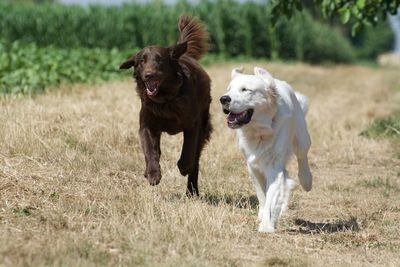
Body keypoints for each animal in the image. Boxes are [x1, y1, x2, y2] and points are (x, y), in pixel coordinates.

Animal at [119, 14, 212, 197]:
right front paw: (153, 174)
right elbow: (150, 151)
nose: (149, 75)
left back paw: (192, 190)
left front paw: (183, 167)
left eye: (159, 60)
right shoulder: (147, 126)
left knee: (196, 158)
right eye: (141, 61)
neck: (165, 100)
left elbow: (188, 151)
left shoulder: (193, 125)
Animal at [219, 66, 312, 232]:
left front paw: (266, 226)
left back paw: (306, 180)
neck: (259, 131)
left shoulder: (274, 166)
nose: (224, 99)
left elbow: (271, 195)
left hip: (302, 138)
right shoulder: (253, 166)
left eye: (245, 89)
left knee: (302, 157)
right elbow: (262, 195)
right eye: (229, 90)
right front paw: (264, 216)